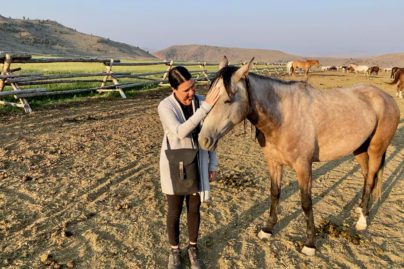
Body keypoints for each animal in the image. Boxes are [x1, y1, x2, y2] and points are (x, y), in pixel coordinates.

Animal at [197, 57, 400, 255]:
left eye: (227, 101)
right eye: (208, 97)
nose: (203, 139)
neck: (284, 116)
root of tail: (386, 97)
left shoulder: (303, 167)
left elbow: (306, 202)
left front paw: (310, 243)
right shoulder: (274, 163)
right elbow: (275, 194)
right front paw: (268, 229)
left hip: (376, 150)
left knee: (371, 178)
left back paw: (362, 221)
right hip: (359, 149)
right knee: (366, 177)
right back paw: (360, 208)